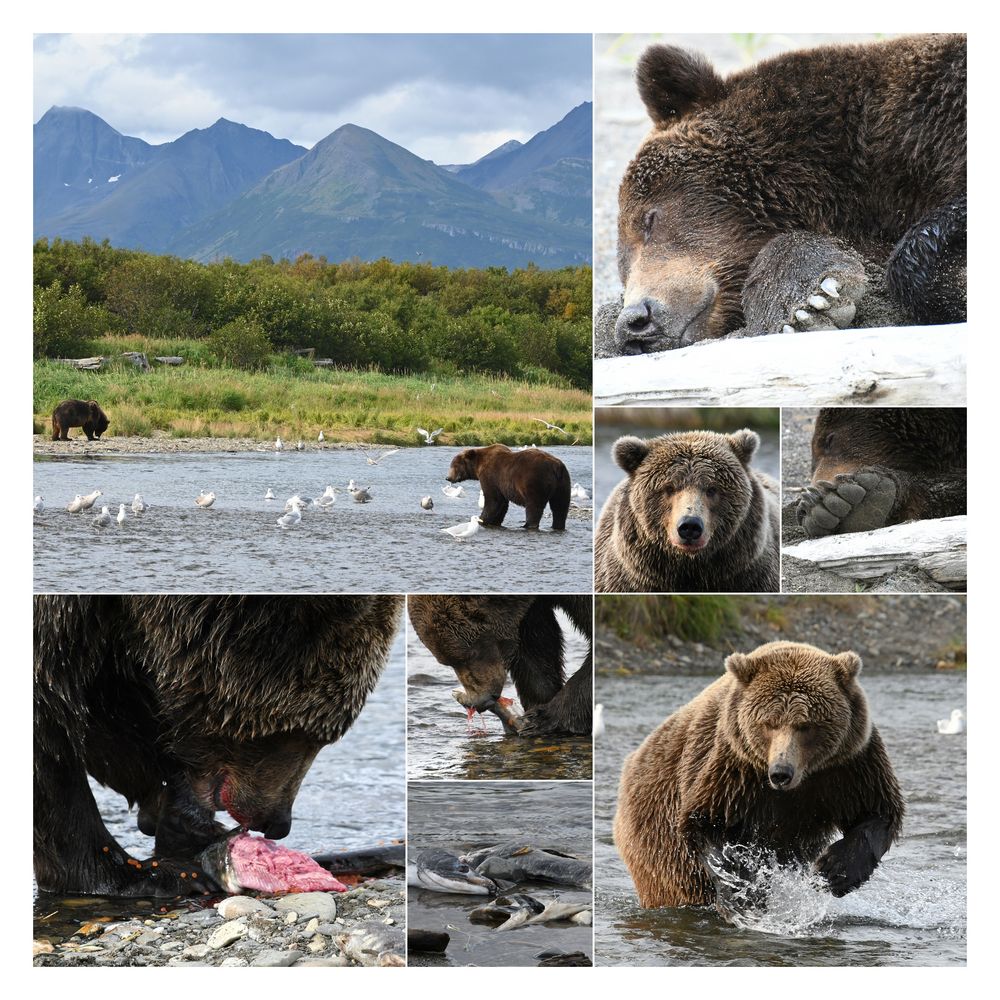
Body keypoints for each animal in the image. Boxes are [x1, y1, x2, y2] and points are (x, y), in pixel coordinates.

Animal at [35, 592, 402, 900]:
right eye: (306, 735)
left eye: (326, 737)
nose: (278, 824)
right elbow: (52, 736)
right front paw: (150, 874)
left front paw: (183, 821)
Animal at [406, 592, 592, 736]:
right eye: (447, 663)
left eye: (469, 655)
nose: (478, 701)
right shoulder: (529, 610)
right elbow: (536, 645)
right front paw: (539, 701)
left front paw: (540, 719)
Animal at [616, 640, 908, 916]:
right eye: (768, 722)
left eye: (806, 725)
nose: (781, 772)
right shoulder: (733, 770)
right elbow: (709, 822)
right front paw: (745, 891)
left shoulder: (849, 766)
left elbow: (877, 811)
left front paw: (835, 870)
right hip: (660, 842)